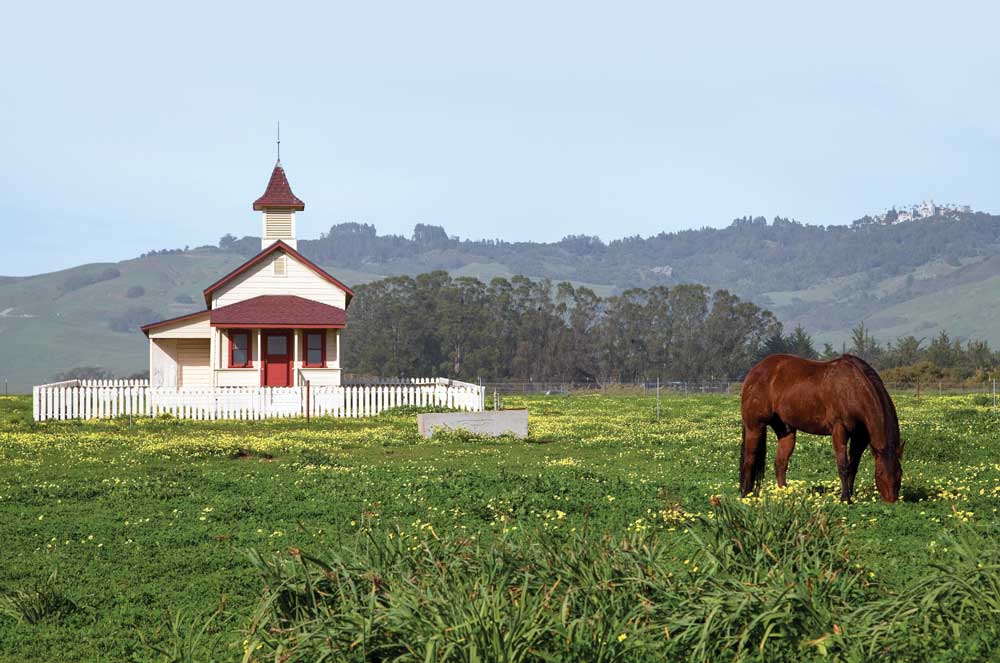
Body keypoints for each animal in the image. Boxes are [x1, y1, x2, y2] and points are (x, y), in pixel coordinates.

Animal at [740, 352, 904, 504]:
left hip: (785, 431)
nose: (891, 501)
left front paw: (850, 495)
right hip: (755, 427)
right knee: (749, 461)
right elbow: (843, 466)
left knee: (780, 464)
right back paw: (746, 496)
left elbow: (853, 466)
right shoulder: (839, 430)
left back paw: (785, 495)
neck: (852, 387)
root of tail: (755, 371)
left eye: (900, 473)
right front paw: (845, 499)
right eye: (880, 473)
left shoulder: (860, 437)